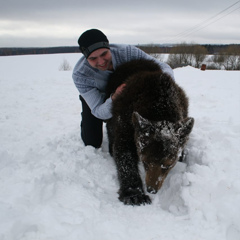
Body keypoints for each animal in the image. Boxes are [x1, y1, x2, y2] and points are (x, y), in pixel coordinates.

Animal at [106, 59, 194, 205]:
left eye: (167, 165)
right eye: (145, 161)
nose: (152, 189)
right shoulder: (127, 119)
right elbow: (123, 151)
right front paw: (134, 194)